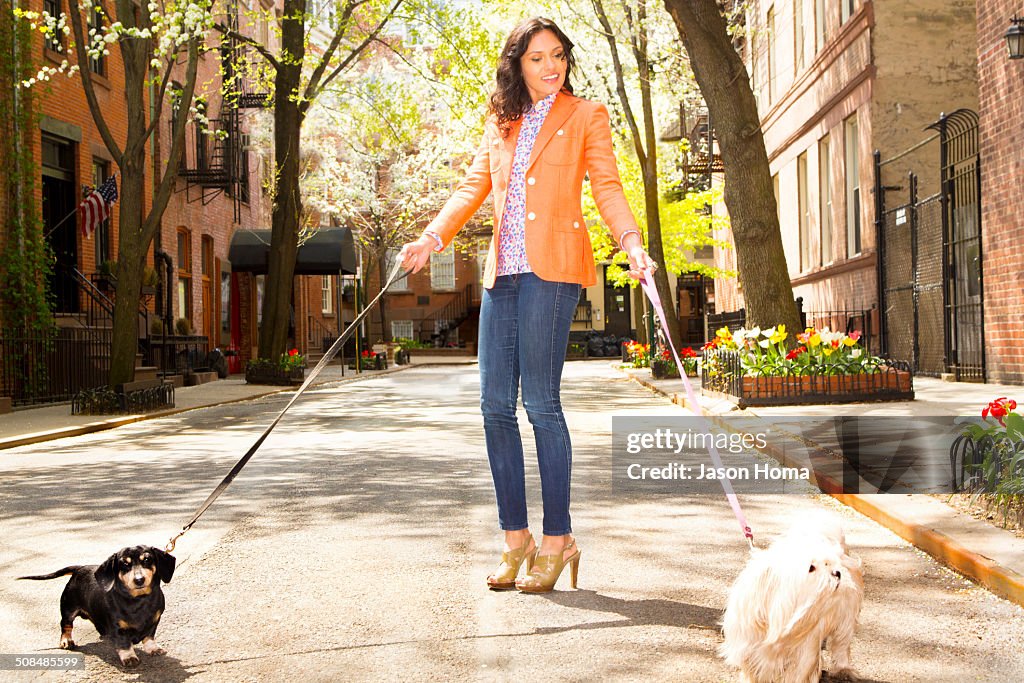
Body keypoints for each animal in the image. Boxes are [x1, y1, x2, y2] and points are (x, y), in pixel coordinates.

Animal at [19, 548, 176, 671]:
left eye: (147, 560)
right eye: (124, 564)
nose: (139, 580)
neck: (139, 599)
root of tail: (79, 568)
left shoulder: (154, 621)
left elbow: (149, 636)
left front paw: (153, 649)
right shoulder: (117, 627)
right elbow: (124, 643)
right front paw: (129, 657)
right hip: (68, 608)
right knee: (66, 625)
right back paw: (66, 641)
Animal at [720, 511, 864, 683]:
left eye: (827, 563)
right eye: (811, 567)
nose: (837, 573)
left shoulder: (804, 651)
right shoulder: (749, 648)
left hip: (846, 619)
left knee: (842, 644)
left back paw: (843, 669)